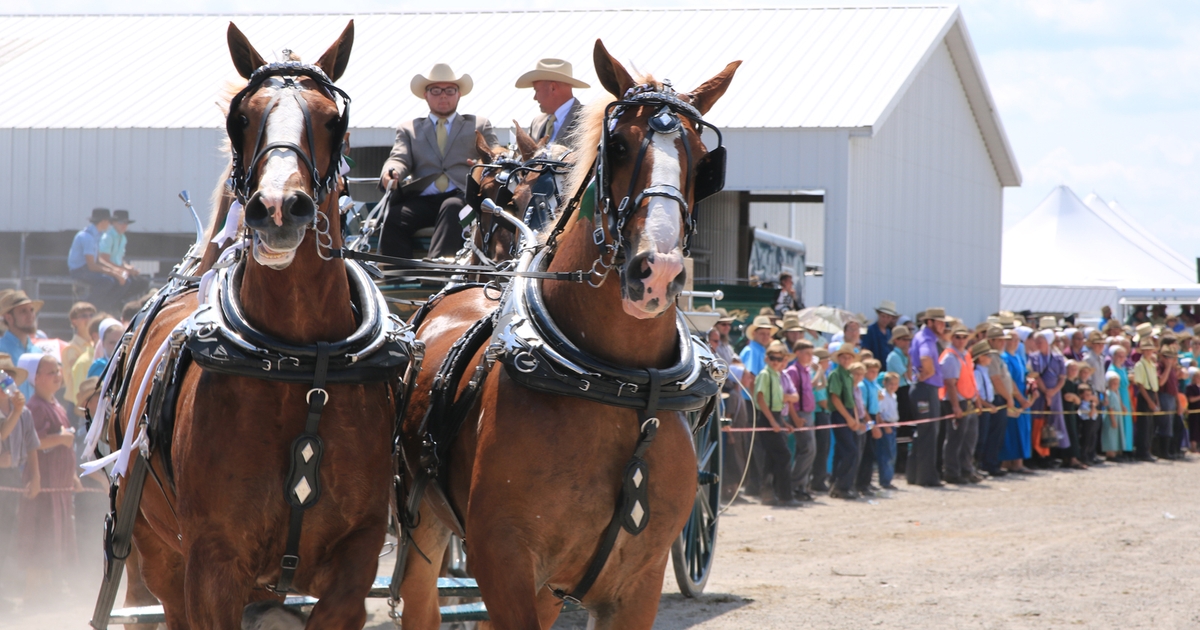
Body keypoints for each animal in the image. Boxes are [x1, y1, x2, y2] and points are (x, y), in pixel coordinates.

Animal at [92, 21, 405, 629]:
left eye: (332, 119)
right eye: (242, 118)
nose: (280, 207)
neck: (301, 363)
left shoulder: (354, 563)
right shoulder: (213, 562)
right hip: (156, 550)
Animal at [394, 39, 739, 629]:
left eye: (702, 160)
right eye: (617, 146)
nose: (659, 272)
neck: (614, 386)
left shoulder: (637, 582)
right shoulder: (502, 561)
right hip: (424, 524)